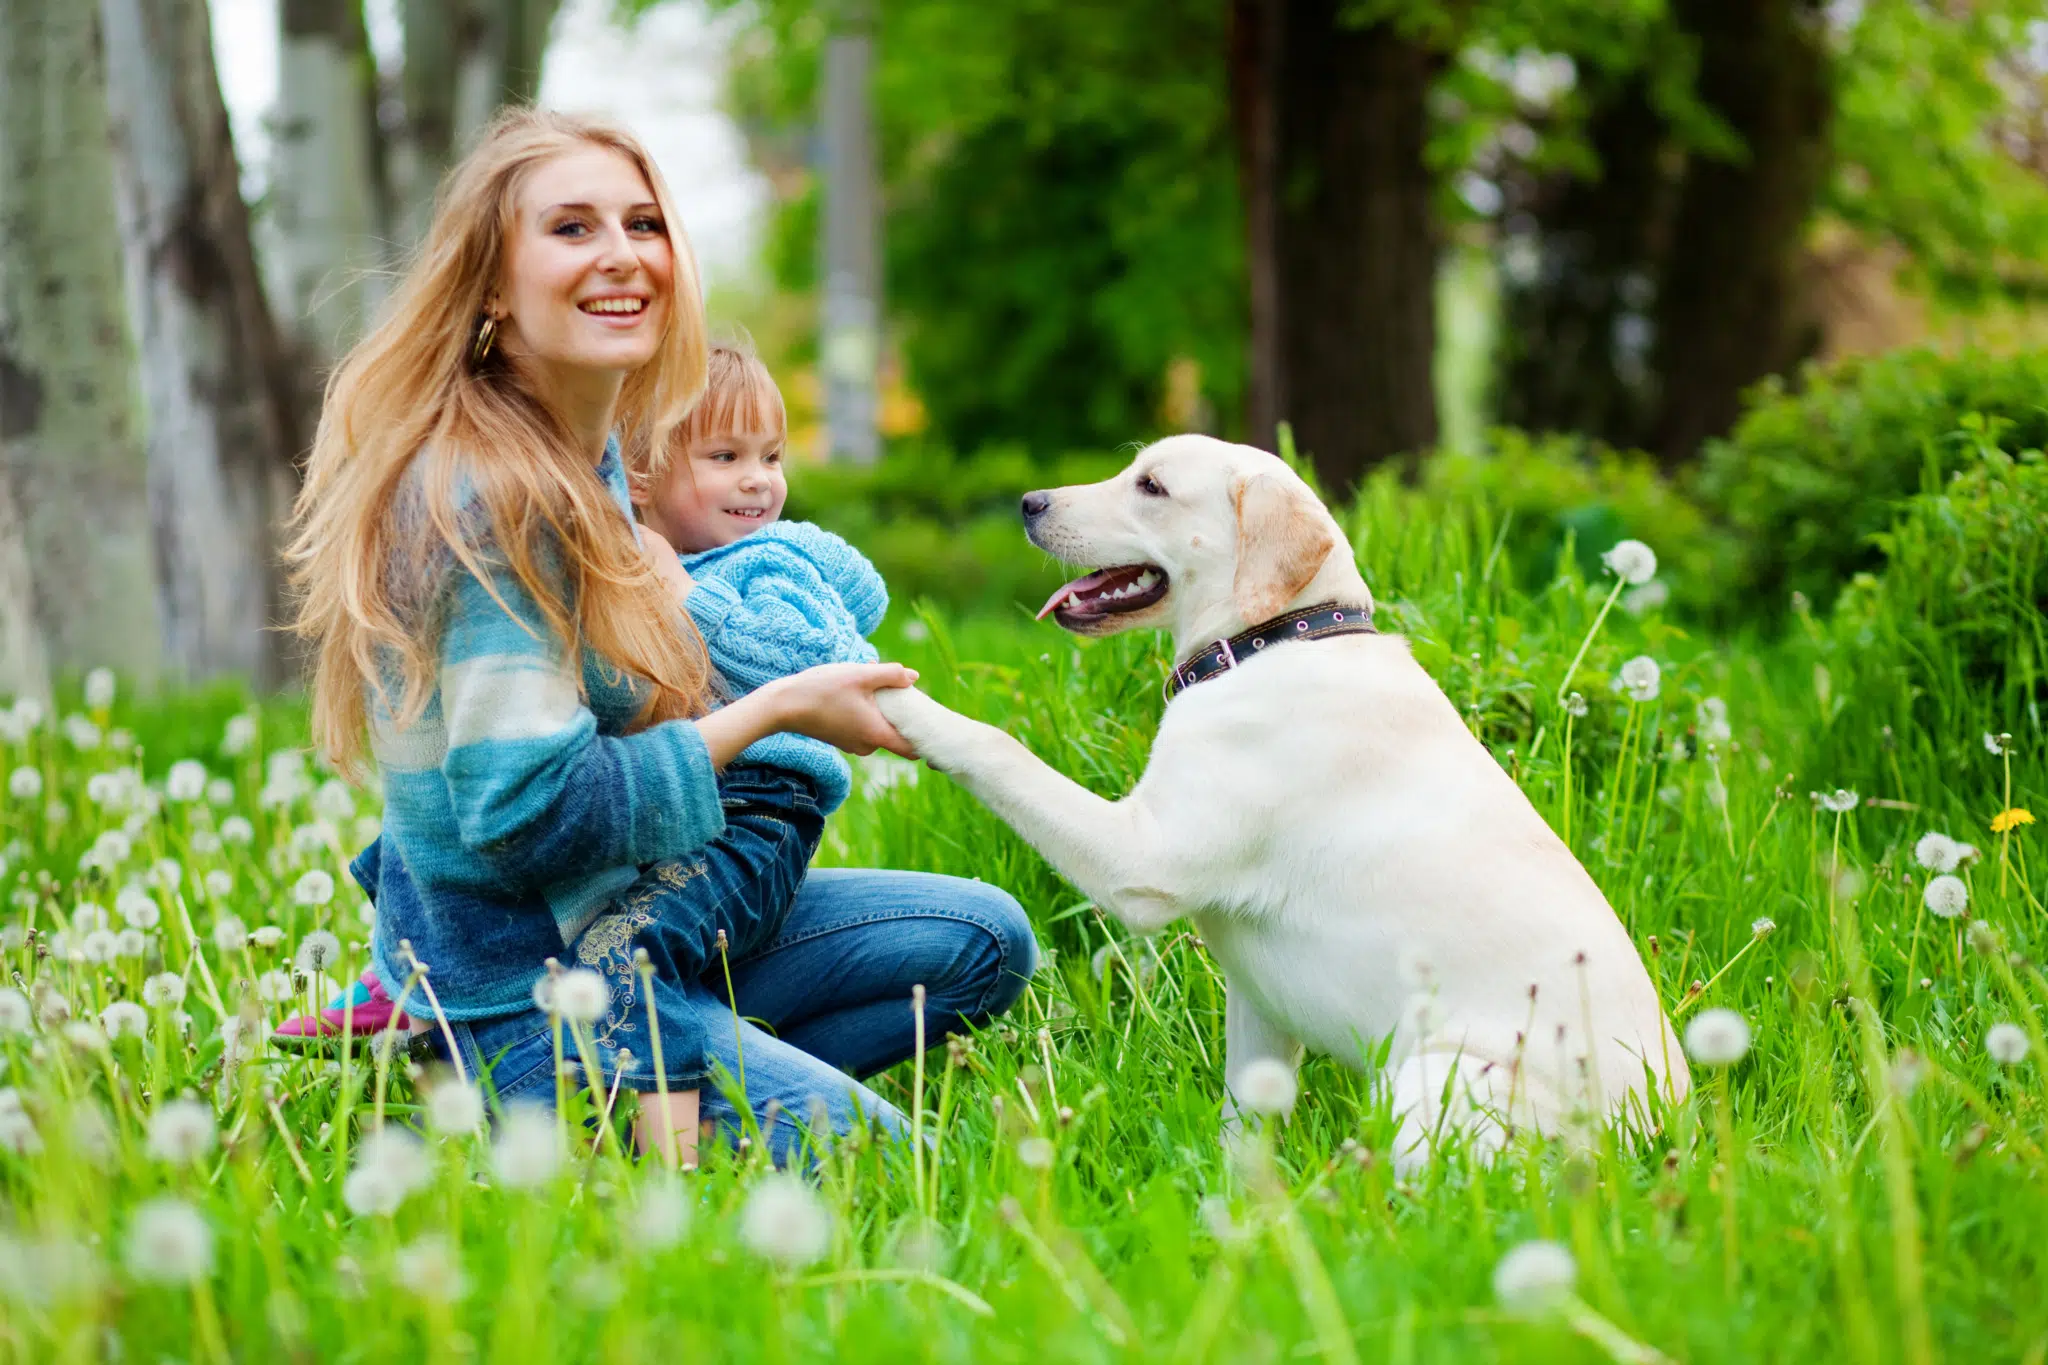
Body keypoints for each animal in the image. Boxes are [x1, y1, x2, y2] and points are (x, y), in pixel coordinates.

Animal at [872, 435, 1687, 1162]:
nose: (1029, 502)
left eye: (1152, 486)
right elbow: (1245, 1122)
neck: (1275, 641)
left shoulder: (1139, 861)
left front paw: (896, 700)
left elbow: (997, 747)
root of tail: (1665, 1135)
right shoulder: (1257, 1005)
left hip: (1434, 1078)